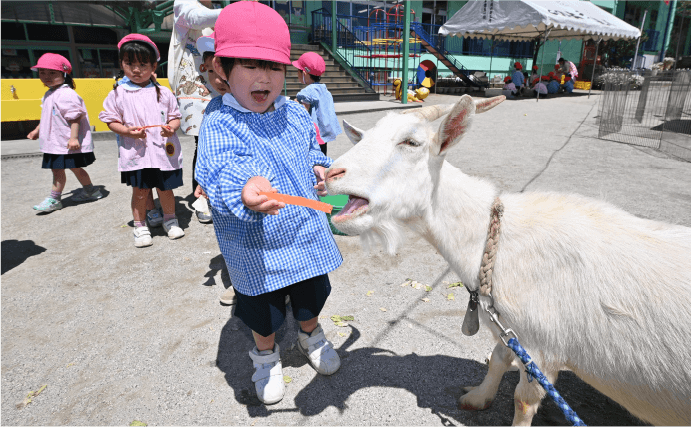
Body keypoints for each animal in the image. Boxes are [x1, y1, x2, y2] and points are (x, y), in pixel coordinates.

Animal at [324, 97, 691, 427]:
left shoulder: (543, 347)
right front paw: (476, 398)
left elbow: (523, 401)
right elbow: (498, 358)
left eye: (410, 142)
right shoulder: (510, 327)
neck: (499, 241)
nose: (327, 174)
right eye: (365, 137)